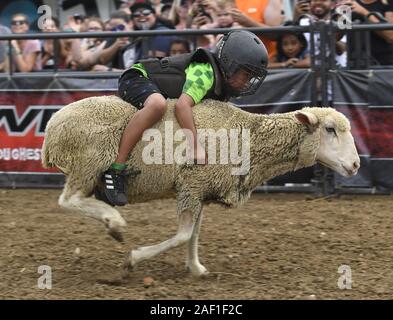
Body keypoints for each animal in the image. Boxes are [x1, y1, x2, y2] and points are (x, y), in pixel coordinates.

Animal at [42, 94, 358, 276]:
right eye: (330, 129)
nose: (356, 165)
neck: (250, 137)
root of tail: (52, 125)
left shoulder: (202, 191)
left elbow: (193, 234)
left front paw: (195, 268)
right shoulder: (191, 186)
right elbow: (183, 234)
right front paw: (133, 258)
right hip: (90, 162)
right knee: (68, 200)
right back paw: (114, 222)